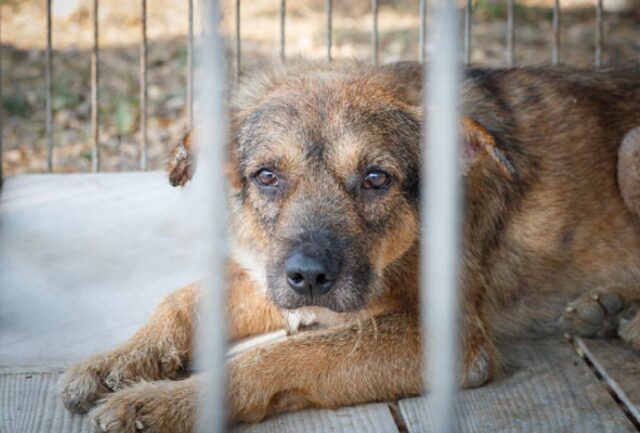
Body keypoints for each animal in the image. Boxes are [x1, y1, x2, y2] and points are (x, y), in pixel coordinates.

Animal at [58, 61, 640, 432]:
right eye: (266, 176)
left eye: (376, 178)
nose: (310, 277)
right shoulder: (268, 279)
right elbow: (179, 301)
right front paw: (118, 360)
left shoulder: (448, 335)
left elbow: (278, 357)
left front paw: (162, 405)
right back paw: (606, 308)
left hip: (631, 148)